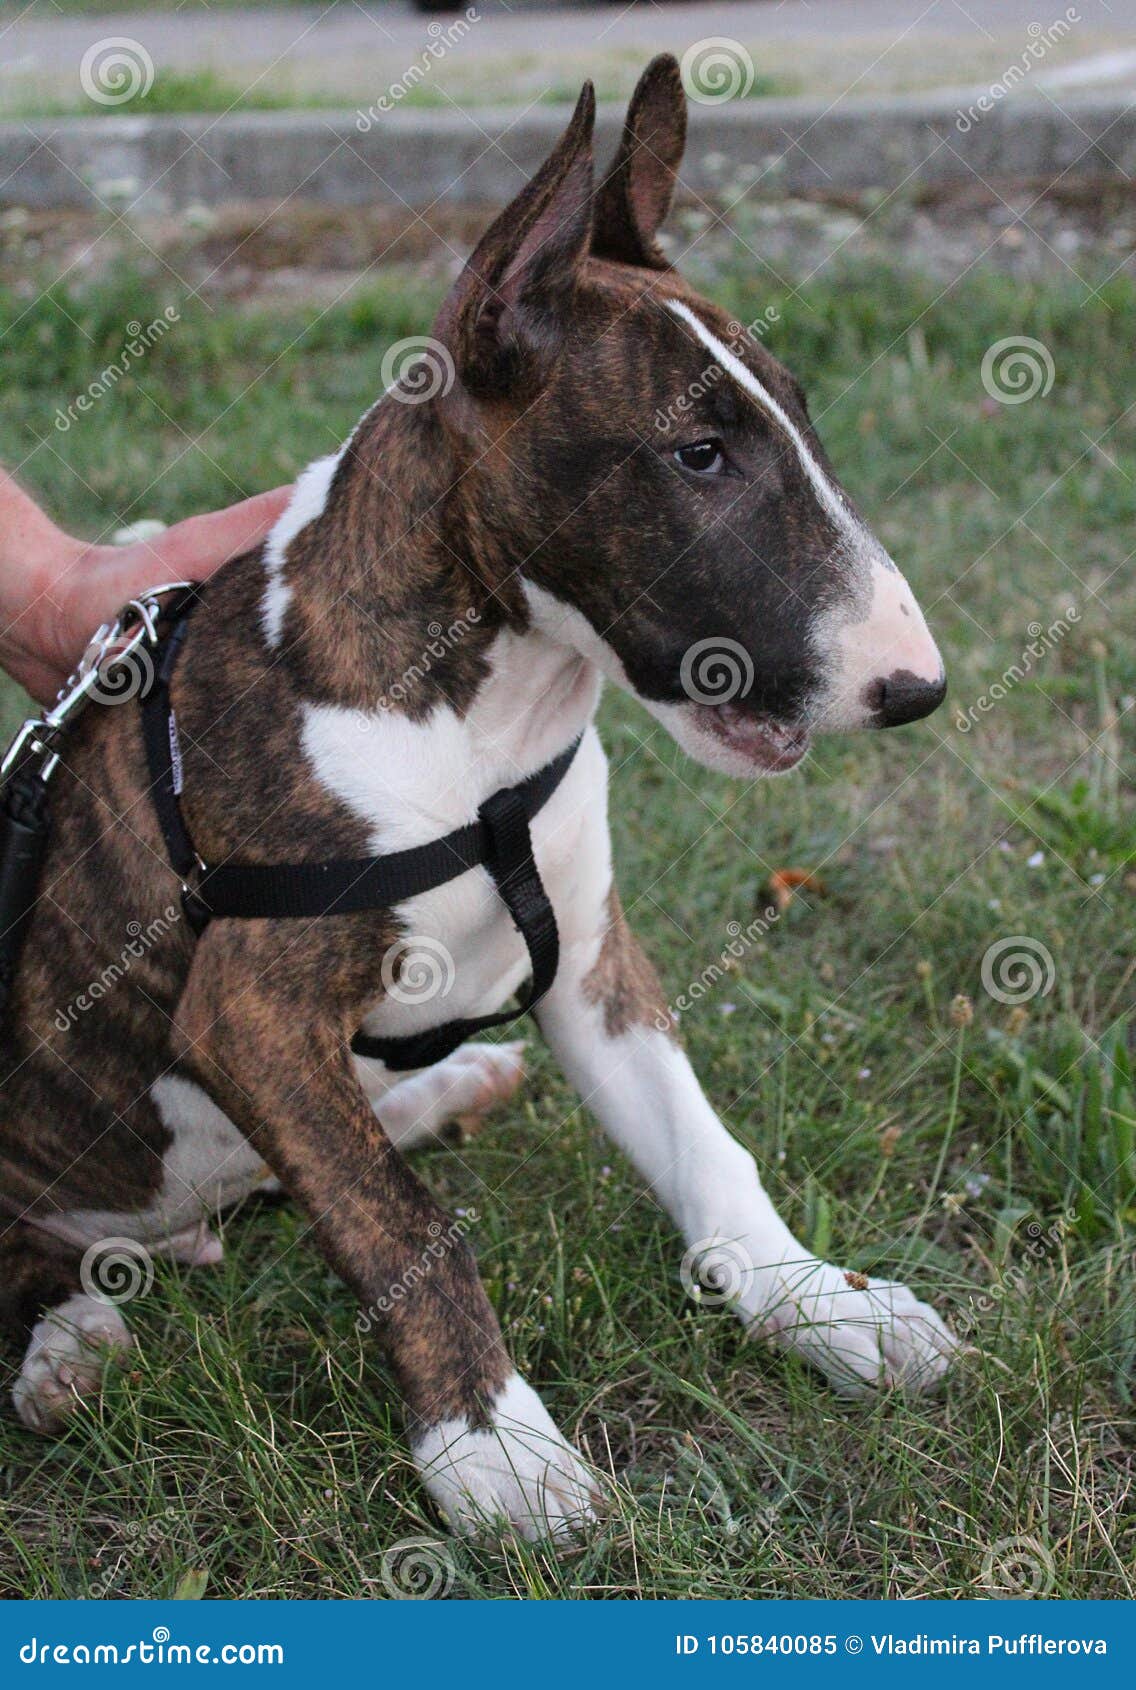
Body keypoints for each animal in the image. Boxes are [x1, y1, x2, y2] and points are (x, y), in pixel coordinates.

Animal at [0, 59, 953, 1541]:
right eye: (696, 453)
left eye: (798, 419)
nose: (916, 687)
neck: (481, 725)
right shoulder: (248, 1008)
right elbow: (402, 1225)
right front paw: (491, 1446)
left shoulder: (594, 957)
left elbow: (706, 1148)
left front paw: (819, 1303)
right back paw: (66, 1347)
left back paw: (445, 1087)